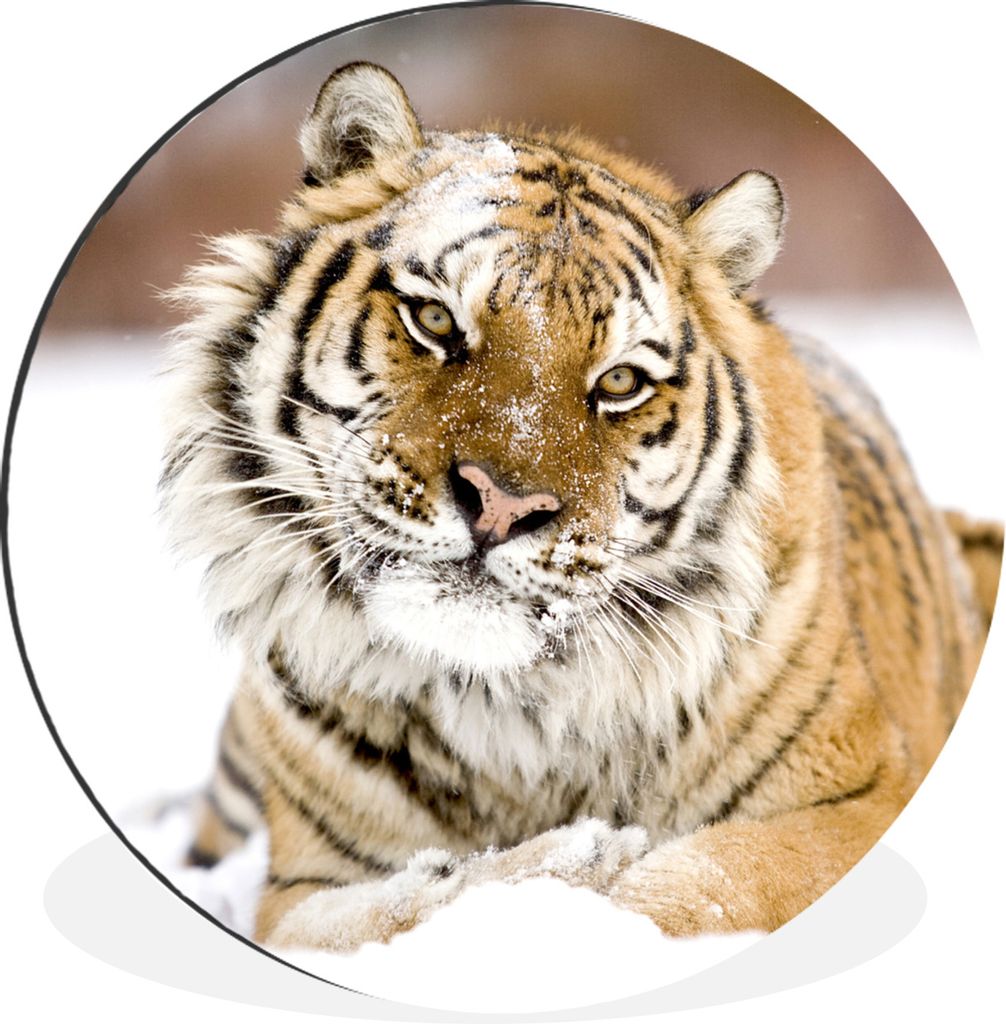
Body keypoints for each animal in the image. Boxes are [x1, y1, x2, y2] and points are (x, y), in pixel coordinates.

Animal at [161, 61, 1001, 952]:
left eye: (621, 381)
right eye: (434, 319)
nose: (501, 505)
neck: (504, 718)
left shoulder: (852, 806)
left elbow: (690, 887)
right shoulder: (299, 886)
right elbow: (375, 915)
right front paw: (561, 859)